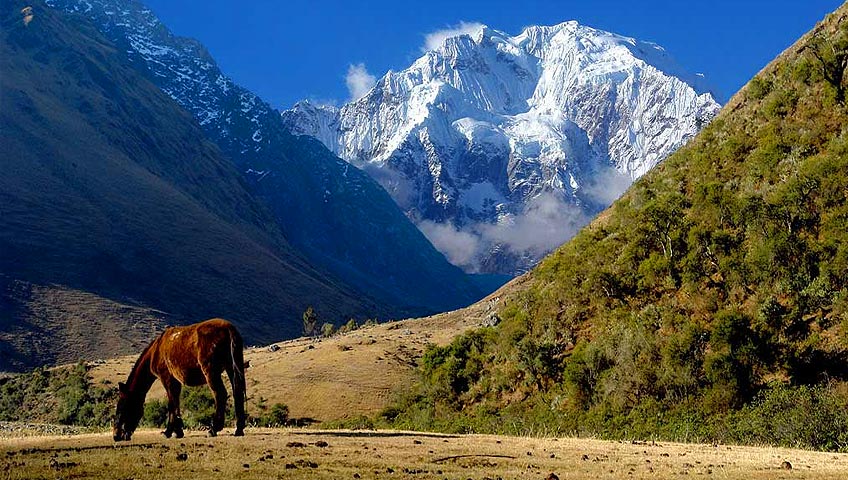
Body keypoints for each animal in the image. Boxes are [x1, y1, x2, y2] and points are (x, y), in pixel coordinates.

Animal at [112, 318, 247, 442]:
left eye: (122, 409)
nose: (116, 436)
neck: (156, 350)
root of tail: (228, 329)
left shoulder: (167, 378)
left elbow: (171, 404)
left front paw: (169, 431)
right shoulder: (175, 382)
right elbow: (175, 402)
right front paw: (178, 431)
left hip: (211, 372)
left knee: (220, 394)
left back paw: (214, 429)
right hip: (232, 368)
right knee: (238, 393)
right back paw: (239, 429)